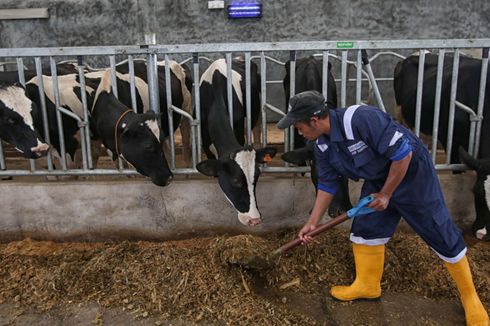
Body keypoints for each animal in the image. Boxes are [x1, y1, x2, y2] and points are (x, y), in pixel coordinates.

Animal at [197, 58, 278, 225]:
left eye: (255, 178)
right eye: (235, 181)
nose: (254, 219)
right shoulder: (206, 144)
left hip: (257, 110)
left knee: (257, 130)